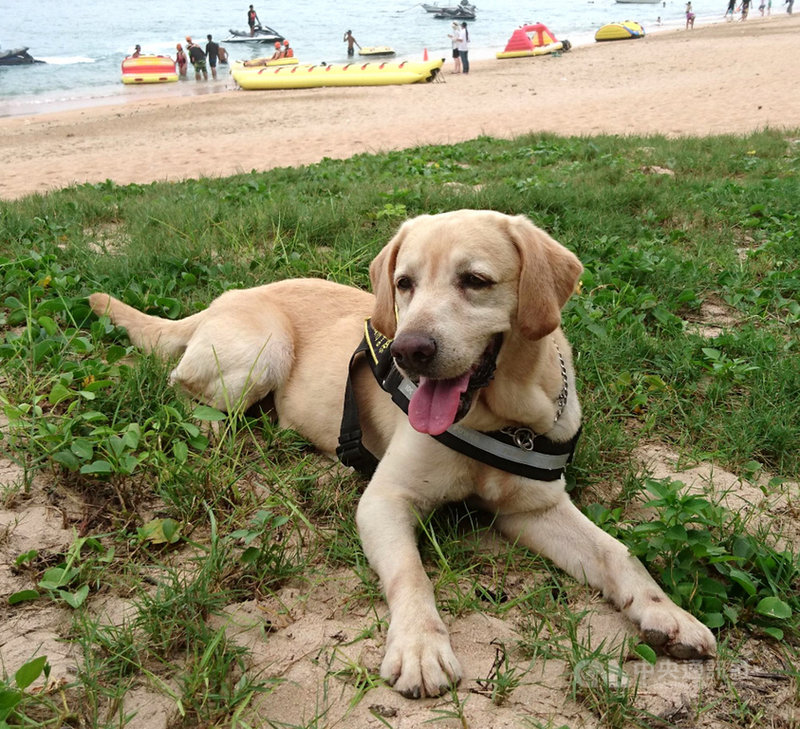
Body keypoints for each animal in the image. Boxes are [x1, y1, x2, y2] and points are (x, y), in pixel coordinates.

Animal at [90, 209, 716, 692]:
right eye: (405, 282)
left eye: (475, 280)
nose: (408, 350)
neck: (499, 419)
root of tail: (226, 296)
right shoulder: (384, 499)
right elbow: (412, 575)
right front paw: (419, 647)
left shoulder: (535, 510)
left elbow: (619, 553)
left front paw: (667, 613)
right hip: (258, 356)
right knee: (177, 386)